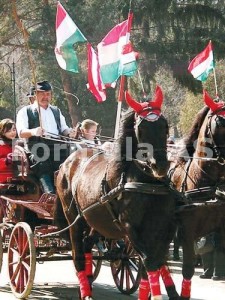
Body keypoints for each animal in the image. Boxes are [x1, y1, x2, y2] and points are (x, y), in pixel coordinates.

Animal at [55, 85, 179, 298]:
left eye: (165, 125)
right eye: (141, 128)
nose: (161, 165)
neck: (146, 183)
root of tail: (67, 162)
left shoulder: (161, 227)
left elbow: (157, 262)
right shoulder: (131, 228)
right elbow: (150, 262)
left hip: (95, 219)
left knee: (88, 244)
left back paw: (88, 282)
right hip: (74, 218)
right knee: (78, 253)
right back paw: (85, 291)